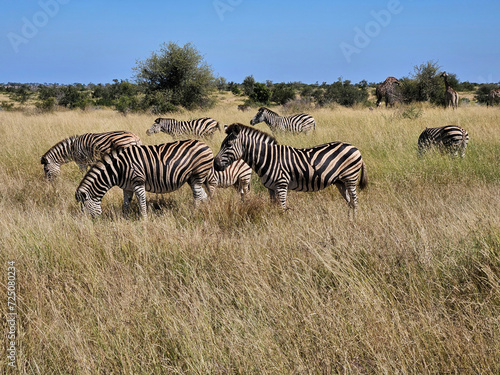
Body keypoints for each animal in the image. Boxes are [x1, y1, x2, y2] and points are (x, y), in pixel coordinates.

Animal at [75, 140, 213, 217]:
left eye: (84, 209)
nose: (87, 225)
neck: (119, 168)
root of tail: (204, 144)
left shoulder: (138, 182)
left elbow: (142, 203)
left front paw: (144, 221)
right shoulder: (127, 187)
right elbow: (126, 204)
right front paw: (125, 219)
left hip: (198, 175)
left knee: (198, 196)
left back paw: (195, 213)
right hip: (191, 178)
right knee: (203, 195)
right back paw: (205, 209)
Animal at [212, 124, 368, 217]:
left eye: (229, 144)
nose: (215, 164)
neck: (268, 158)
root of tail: (355, 148)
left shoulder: (281, 185)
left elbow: (282, 208)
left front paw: (282, 228)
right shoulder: (271, 188)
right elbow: (273, 207)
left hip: (350, 178)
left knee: (354, 201)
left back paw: (354, 221)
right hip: (340, 182)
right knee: (349, 202)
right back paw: (349, 219)